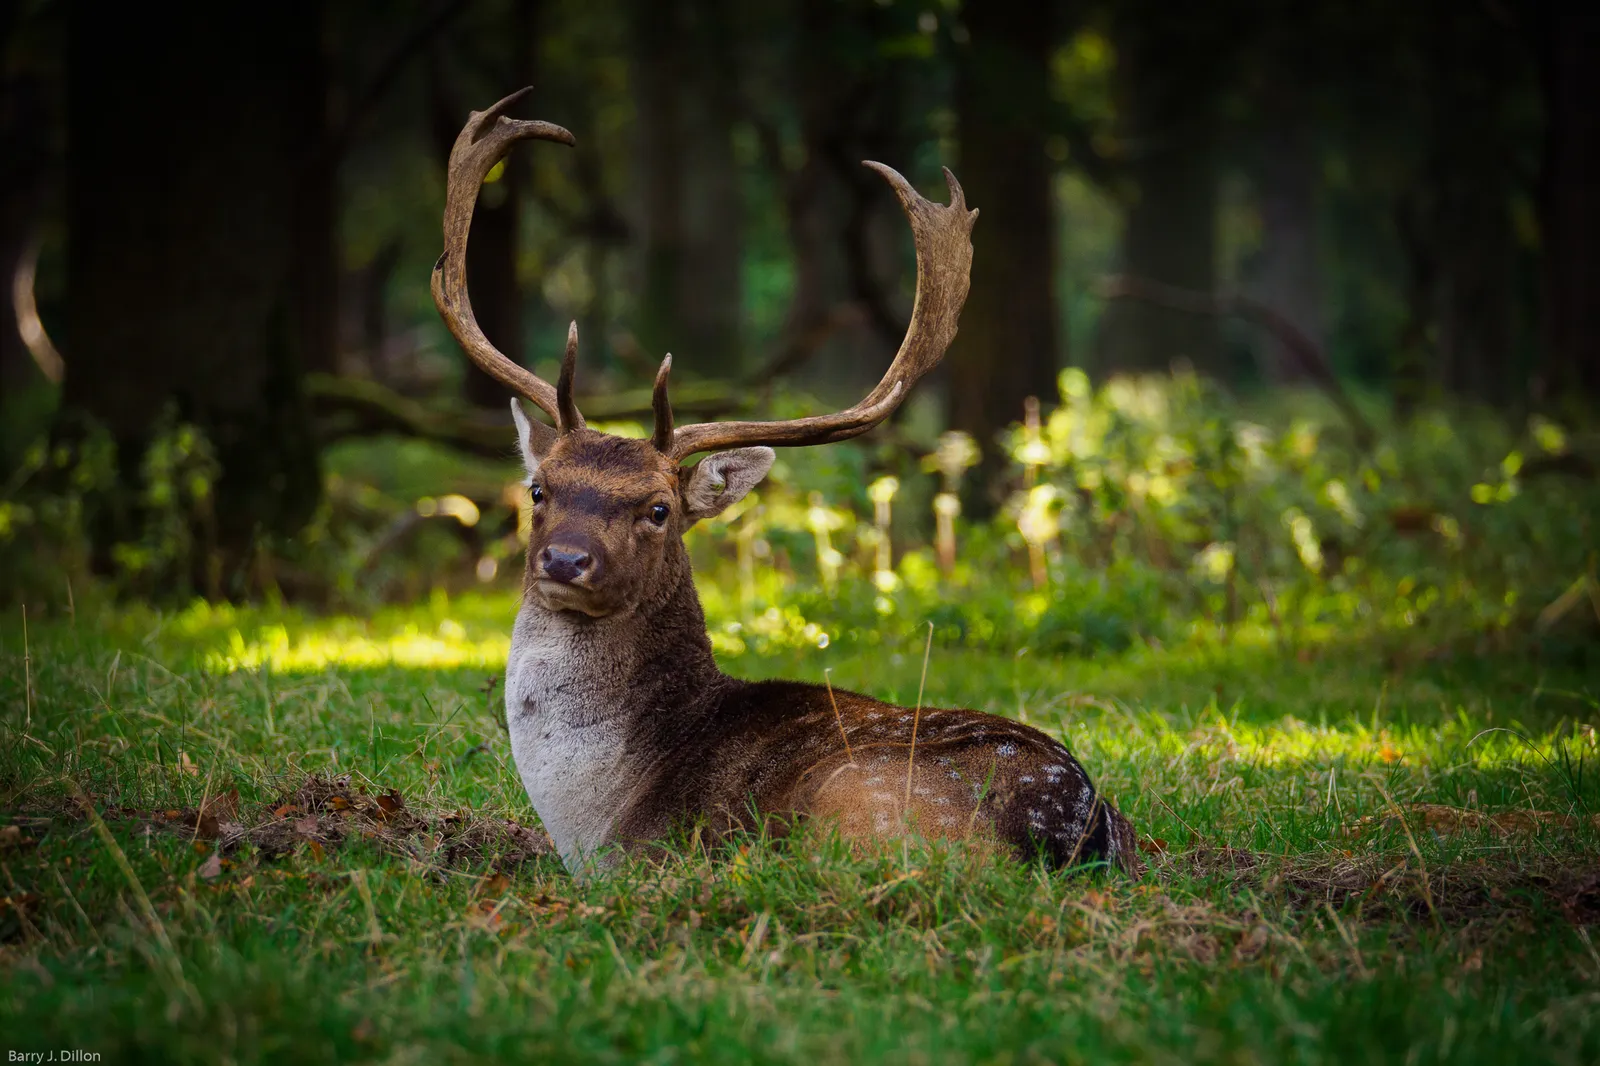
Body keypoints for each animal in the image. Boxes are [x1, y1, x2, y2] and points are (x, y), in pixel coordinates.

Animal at [433, 89, 1140, 879]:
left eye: (658, 509)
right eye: (539, 490)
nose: (564, 559)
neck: (589, 823)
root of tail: (1071, 834)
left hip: (854, 807)